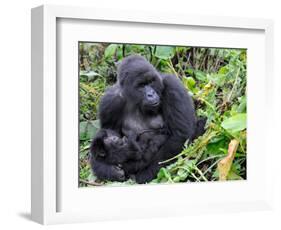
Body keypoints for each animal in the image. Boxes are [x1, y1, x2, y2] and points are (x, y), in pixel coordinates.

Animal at [93, 54, 198, 184]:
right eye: (141, 85)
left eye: (151, 82)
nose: (151, 94)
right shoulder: (110, 102)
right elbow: (107, 133)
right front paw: (108, 170)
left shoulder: (173, 85)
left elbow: (179, 135)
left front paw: (145, 174)